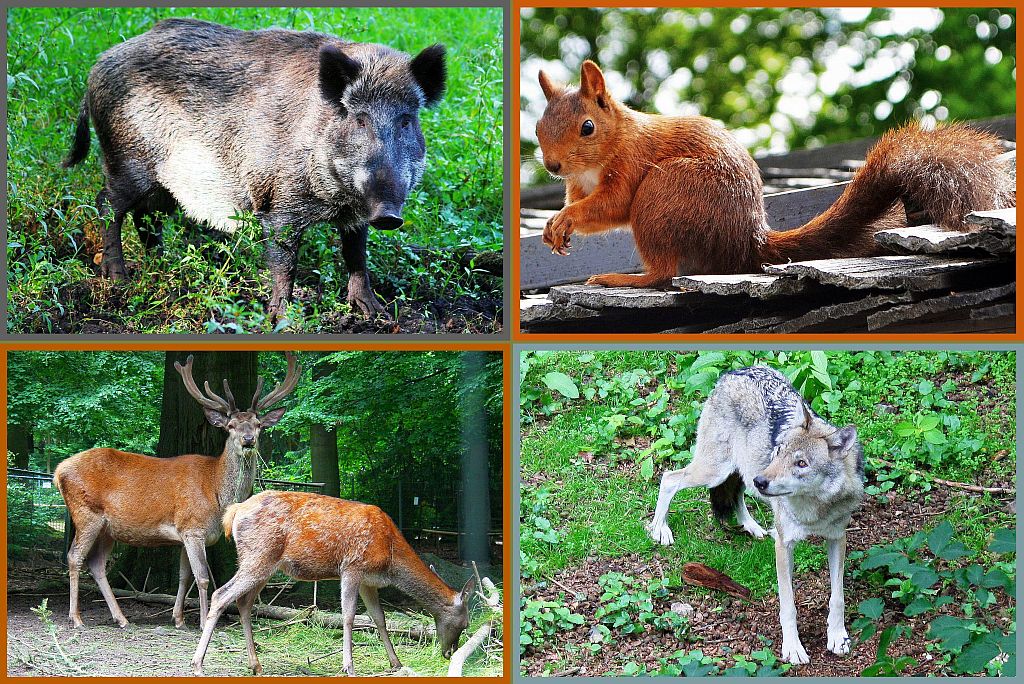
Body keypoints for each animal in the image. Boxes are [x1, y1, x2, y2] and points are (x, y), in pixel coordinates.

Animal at [52, 352, 299, 630]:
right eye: (231, 425)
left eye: (258, 424)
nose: (248, 440)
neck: (216, 492)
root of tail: (58, 472)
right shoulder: (193, 527)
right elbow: (202, 577)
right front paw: (202, 622)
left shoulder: (185, 534)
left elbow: (184, 576)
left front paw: (178, 619)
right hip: (86, 513)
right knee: (74, 557)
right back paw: (76, 618)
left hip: (108, 528)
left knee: (96, 564)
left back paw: (122, 619)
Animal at [191, 489, 475, 675]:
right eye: (466, 623)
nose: (449, 653)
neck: (390, 557)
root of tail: (235, 511)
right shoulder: (352, 566)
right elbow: (349, 616)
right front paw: (349, 666)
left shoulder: (368, 581)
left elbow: (379, 618)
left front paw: (396, 663)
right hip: (258, 556)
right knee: (221, 594)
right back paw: (198, 664)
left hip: (264, 565)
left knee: (244, 602)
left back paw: (256, 664)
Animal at [536, 59, 1015, 290]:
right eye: (539, 127)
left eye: (587, 127)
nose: (552, 165)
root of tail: (749, 239)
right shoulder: (577, 183)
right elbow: (586, 205)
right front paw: (554, 228)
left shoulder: (634, 161)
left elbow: (614, 204)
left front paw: (565, 220)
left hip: (664, 191)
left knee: (663, 273)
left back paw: (625, 278)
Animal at [647, 366, 864, 663]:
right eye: (779, 452)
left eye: (801, 463)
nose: (763, 480)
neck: (814, 509)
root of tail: (734, 371)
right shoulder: (784, 545)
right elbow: (789, 604)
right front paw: (793, 648)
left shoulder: (837, 539)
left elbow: (837, 596)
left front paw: (837, 637)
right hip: (715, 471)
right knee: (669, 478)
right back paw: (660, 529)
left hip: (739, 472)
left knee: (737, 493)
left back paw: (753, 527)